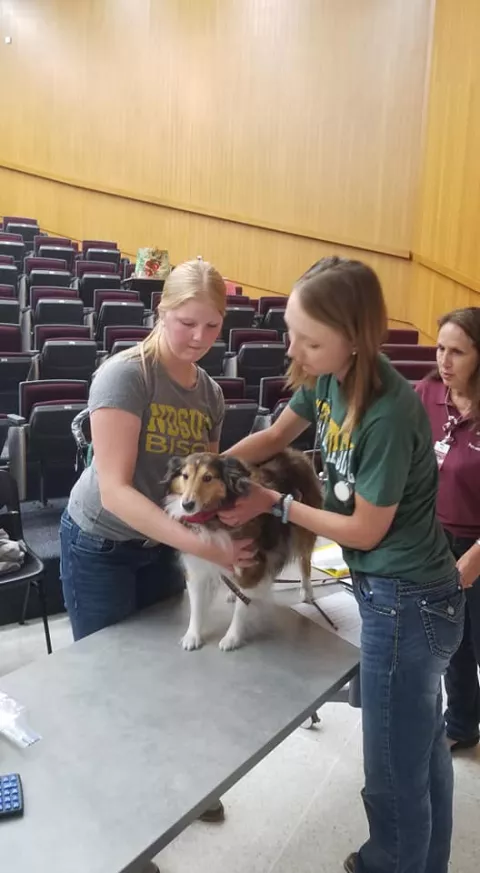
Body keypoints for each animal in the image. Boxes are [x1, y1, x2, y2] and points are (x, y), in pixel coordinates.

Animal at [163, 450, 324, 648]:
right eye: (185, 476)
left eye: (207, 477)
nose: (187, 505)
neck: (213, 517)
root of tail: (296, 453)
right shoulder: (197, 566)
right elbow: (197, 605)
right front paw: (192, 636)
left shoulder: (251, 564)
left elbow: (242, 608)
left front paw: (232, 637)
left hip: (302, 532)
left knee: (304, 561)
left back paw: (307, 591)